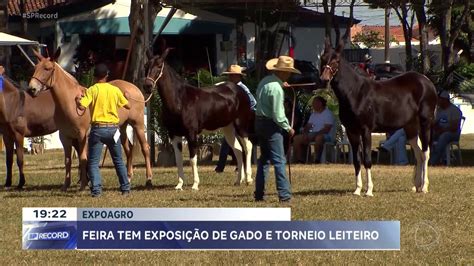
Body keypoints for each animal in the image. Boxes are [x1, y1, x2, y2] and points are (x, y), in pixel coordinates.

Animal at [27, 47, 153, 189]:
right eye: (35, 67)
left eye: (47, 68)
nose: (31, 89)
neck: (71, 102)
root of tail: (134, 88)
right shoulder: (65, 137)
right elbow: (68, 161)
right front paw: (66, 185)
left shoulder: (82, 136)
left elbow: (83, 159)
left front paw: (83, 185)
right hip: (122, 127)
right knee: (128, 149)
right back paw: (129, 177)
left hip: (138, 125)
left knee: (145, 148)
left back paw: (148, 179)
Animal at [143, 48, 254, 190]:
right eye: (146, 66)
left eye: (158, 65)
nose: (147, 86)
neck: (180, 100)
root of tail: (240, 90)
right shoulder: (174, 134)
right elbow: (178, 159)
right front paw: (179, 185)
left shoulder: (191, 133)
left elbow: (193, 159)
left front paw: (195, 184)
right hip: (228, 128)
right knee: (238, 149)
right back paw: (238, 180)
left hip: (241, 125)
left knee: (248, 146)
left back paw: (249, 179)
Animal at [318, 40, 436, 196]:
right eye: (322, 58)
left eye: (336, 60)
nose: (323, 80)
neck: (355, 93)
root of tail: (427, 82)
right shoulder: (352, 131)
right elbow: (356, 160)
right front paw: (357, 190)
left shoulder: (366, 130)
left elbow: (367, 159)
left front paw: (369, 191)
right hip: (410, 127)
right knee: (418, 153)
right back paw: (416, 185)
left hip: (425, 123)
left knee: (425, 153)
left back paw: (424, 187)